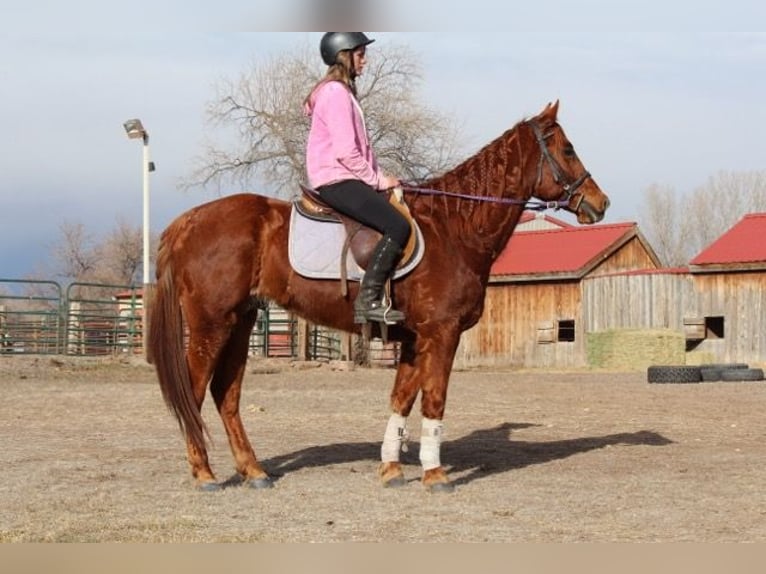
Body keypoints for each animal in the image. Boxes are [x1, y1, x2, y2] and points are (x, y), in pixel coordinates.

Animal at [148, 101, 612, 492]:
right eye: (568, 149)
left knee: (226, 394)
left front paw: (391, 469)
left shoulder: (413, 338)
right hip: (211, 323)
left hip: (241, 321)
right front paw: (435, 474)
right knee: (194, 391)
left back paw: (253, 470)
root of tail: (188, 222)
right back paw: (205, 474)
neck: (454, 229)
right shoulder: (442, 333)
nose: (601, 202)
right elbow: (435, 400)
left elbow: (401, 399)